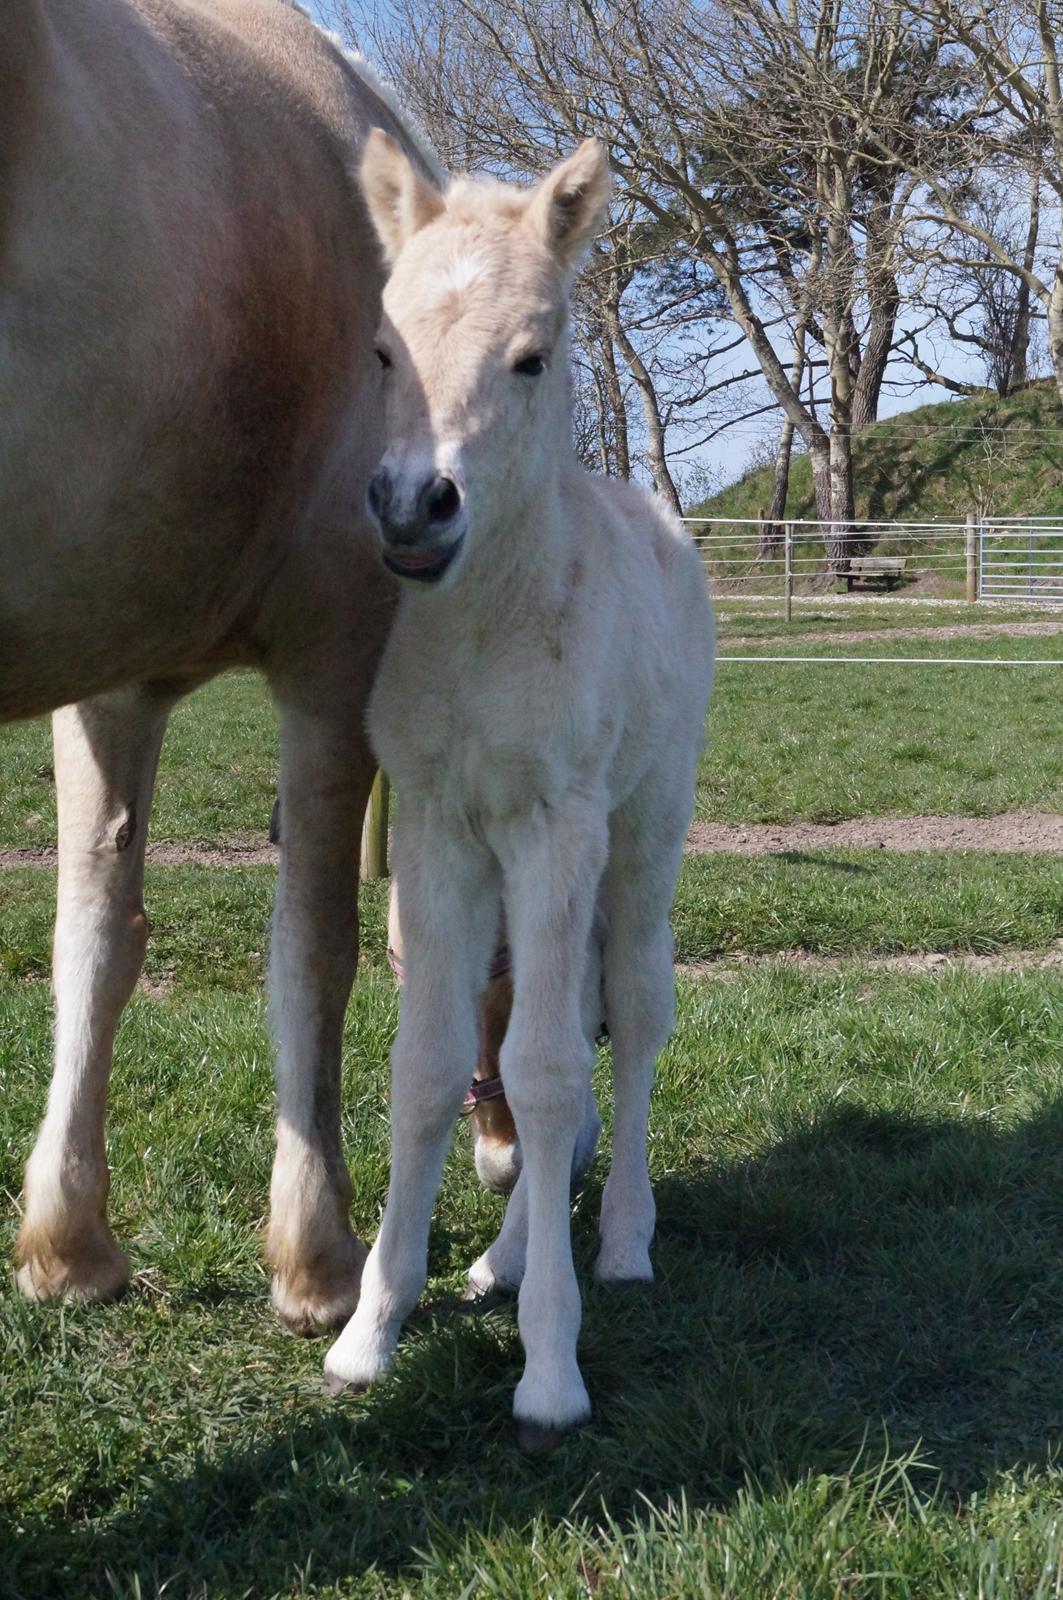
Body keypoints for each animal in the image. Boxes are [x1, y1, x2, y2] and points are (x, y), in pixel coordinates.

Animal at [5, 3, 429, 1337]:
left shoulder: (107, 682)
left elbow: (97, 937)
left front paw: (70, 1245)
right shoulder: (340, 648)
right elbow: (316, 945)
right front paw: (320, 1257)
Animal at [326, 131, 714, 1446]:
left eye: (531, 356)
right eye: (382, 349)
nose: (410, 504)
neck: (479, 628)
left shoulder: (557, 827)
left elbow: (546, 1075)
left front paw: (550, 1367)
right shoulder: (441, 831)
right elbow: (432, 1066)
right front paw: (368, 1329)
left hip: (641, 828)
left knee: (628, 1017)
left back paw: (627, 1241)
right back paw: (499, 1255)